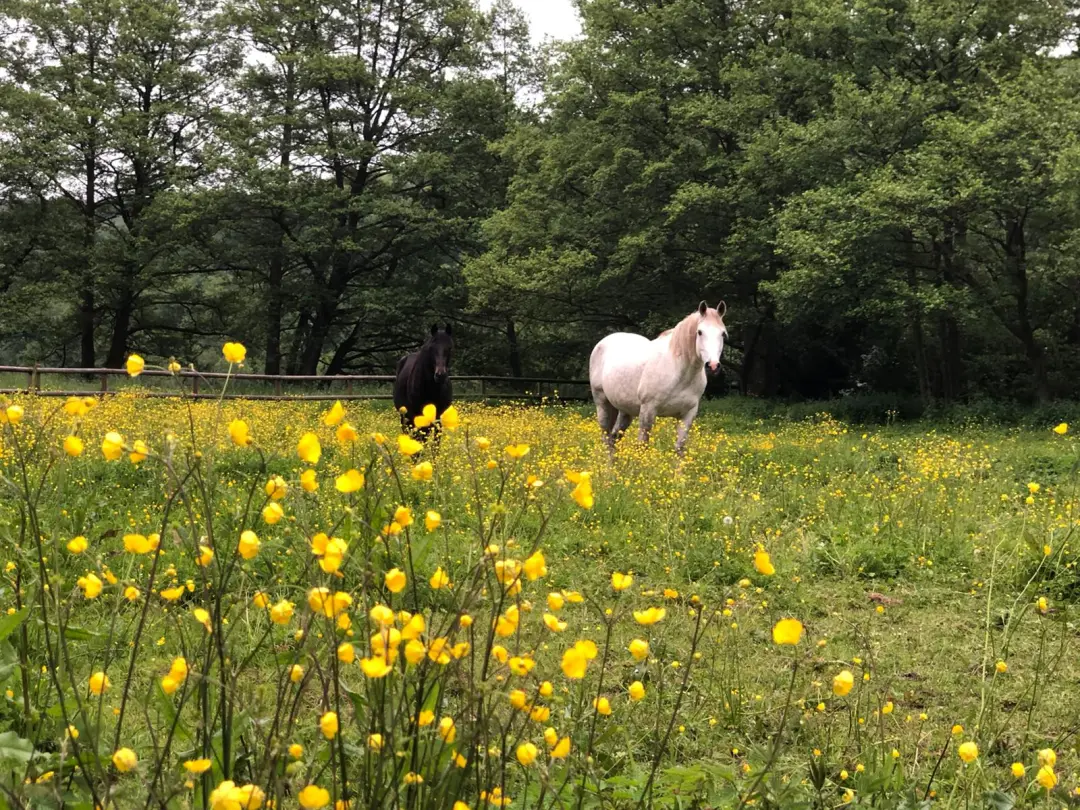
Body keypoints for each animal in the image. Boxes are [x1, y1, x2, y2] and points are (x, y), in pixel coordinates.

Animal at [587, 302, 730, 457]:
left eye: (723, 333)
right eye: (700, 332)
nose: (713, 365)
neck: (678, 370)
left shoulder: (688, 415)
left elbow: (679, 449)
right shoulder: (648, 410)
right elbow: (642, 446)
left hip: (625, 410)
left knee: (614, 438)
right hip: (602, 404)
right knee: (606, 439)